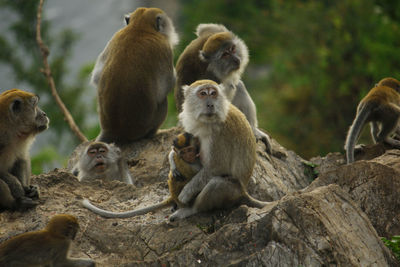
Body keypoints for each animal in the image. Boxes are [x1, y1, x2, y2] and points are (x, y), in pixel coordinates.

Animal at [91, 7, 179, 146]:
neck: (139, 28)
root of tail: (112, 130)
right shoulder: (164, 48)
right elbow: (166, 87)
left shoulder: (115, 36)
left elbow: (96, 77)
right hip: (146, 126)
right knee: (162, 101)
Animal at [168, 79, 268, 222]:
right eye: (203, 94)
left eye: (213, 93)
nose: (210, 104)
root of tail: (244, 192)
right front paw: (172, 157)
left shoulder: (219, 133)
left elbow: (218, 166)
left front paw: (186, 192)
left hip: (233, 192)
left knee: (217, 183)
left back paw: (191, 209)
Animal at [175, 23, 272, 153]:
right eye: (225, 55)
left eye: (232, 49)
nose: (236, 59)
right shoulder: (210, 77)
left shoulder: (215, 32)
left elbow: (203, 28)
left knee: (238, 86)